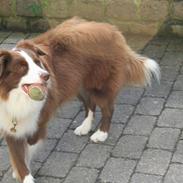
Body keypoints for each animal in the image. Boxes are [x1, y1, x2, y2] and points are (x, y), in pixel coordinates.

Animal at [0, 16, 159, 182]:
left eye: (38, 62)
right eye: (22, 67)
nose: (47, 76)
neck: (14, 96)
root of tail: (113, 30)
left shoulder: (39, 121)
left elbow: (27, 148)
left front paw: (25, 173)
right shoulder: (8, 124)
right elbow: (17, 154)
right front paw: (19, 171)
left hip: (99, 86)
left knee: (107, 109)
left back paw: (101, 134)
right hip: (79, 83)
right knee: (90, 104)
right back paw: (85, 127)